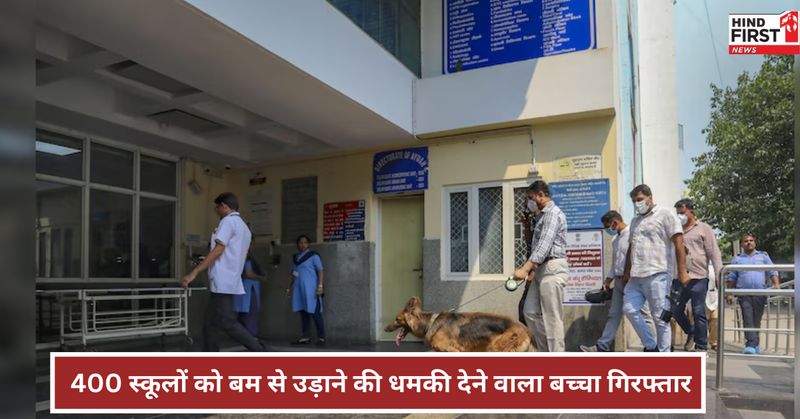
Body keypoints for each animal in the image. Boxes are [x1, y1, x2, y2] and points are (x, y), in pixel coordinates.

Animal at [384, 296, 533, 352]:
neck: (430, 323)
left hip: (497, 347)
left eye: (397, 319)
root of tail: (526, 329)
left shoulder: (453, 350)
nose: (385, 328)